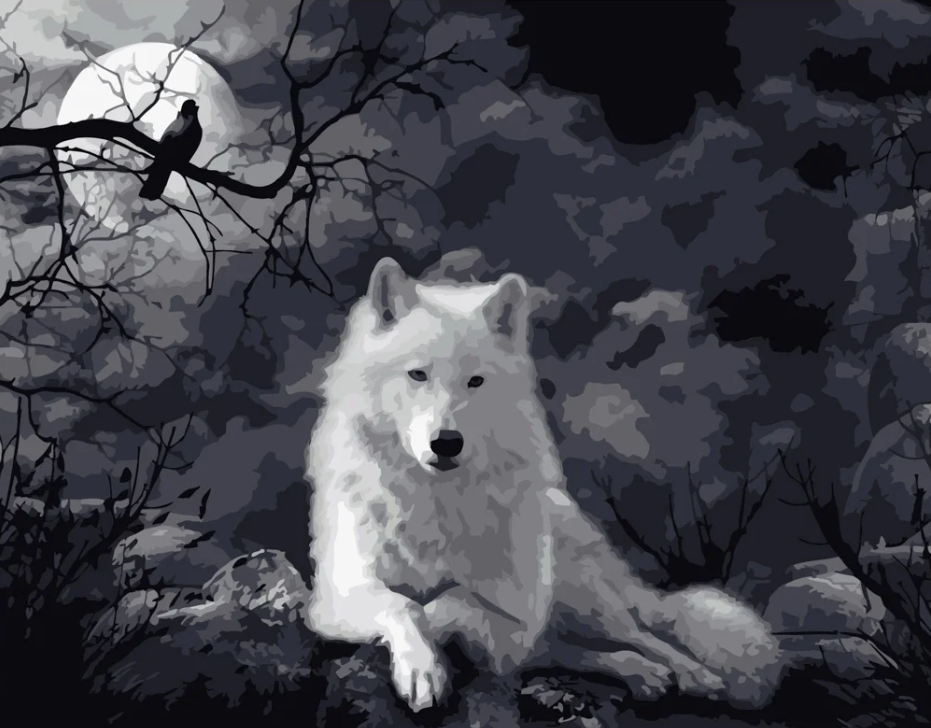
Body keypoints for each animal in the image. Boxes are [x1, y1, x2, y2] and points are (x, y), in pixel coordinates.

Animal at [305, 257, 785, 713]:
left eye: (475, 381)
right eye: (417, 375)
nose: (446, 443)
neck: (434, 502)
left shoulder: (516, 616)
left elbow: (451, 603)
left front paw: (435, 649)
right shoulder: (336, 598)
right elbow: (403, 604)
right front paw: (422, 671)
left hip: (589, 599)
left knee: (644, 634)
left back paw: (694, 675)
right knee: (569, 652)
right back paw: (642, 674)